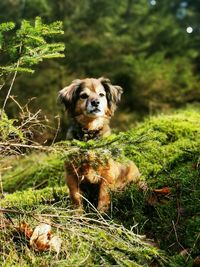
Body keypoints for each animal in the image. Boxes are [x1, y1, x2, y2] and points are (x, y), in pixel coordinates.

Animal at [59, 77, 141, 214]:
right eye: (83, 96)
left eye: (101, 94)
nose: (95, 102)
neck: (90, 133)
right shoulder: (71, 174)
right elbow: (75, 197)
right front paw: (77, 215)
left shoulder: (107, 173)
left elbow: (103, 195)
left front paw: (101, 214)